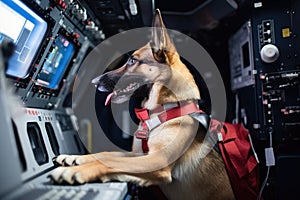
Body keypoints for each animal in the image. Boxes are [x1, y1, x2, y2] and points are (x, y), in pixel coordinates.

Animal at [50, 9, 236, 200]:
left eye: (132, 61)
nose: (94, 82)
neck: (162, 109)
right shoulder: (137, 154)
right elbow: (107, 154)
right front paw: (73, 158)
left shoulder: (156, 161)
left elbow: (111, 162)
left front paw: (75, 171)